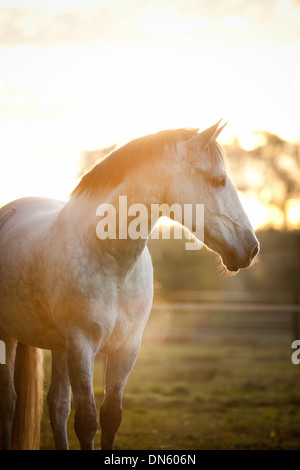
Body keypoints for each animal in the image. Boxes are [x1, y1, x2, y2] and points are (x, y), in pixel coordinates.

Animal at [0, 119, 258, 450]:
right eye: (218, 180)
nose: (251, 248)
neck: (111, 260)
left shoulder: (127, 348)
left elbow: (111, 417)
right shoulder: (82, 346)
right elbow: (87, 421)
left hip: (59, 346)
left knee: (56, 405)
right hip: (9, 336)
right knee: (9, 402)